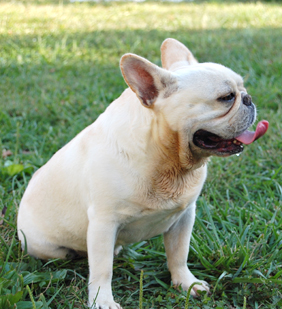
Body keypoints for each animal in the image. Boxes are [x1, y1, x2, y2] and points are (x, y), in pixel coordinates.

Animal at [16, 39, 268, 308]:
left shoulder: (184, 217)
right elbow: (102, 269)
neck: (167, 161)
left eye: (242, 88)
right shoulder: (103, 223)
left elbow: (179, 253)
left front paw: (186, 284)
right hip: (47, 247)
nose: (248, 98)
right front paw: (102, 300)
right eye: (226, 98)